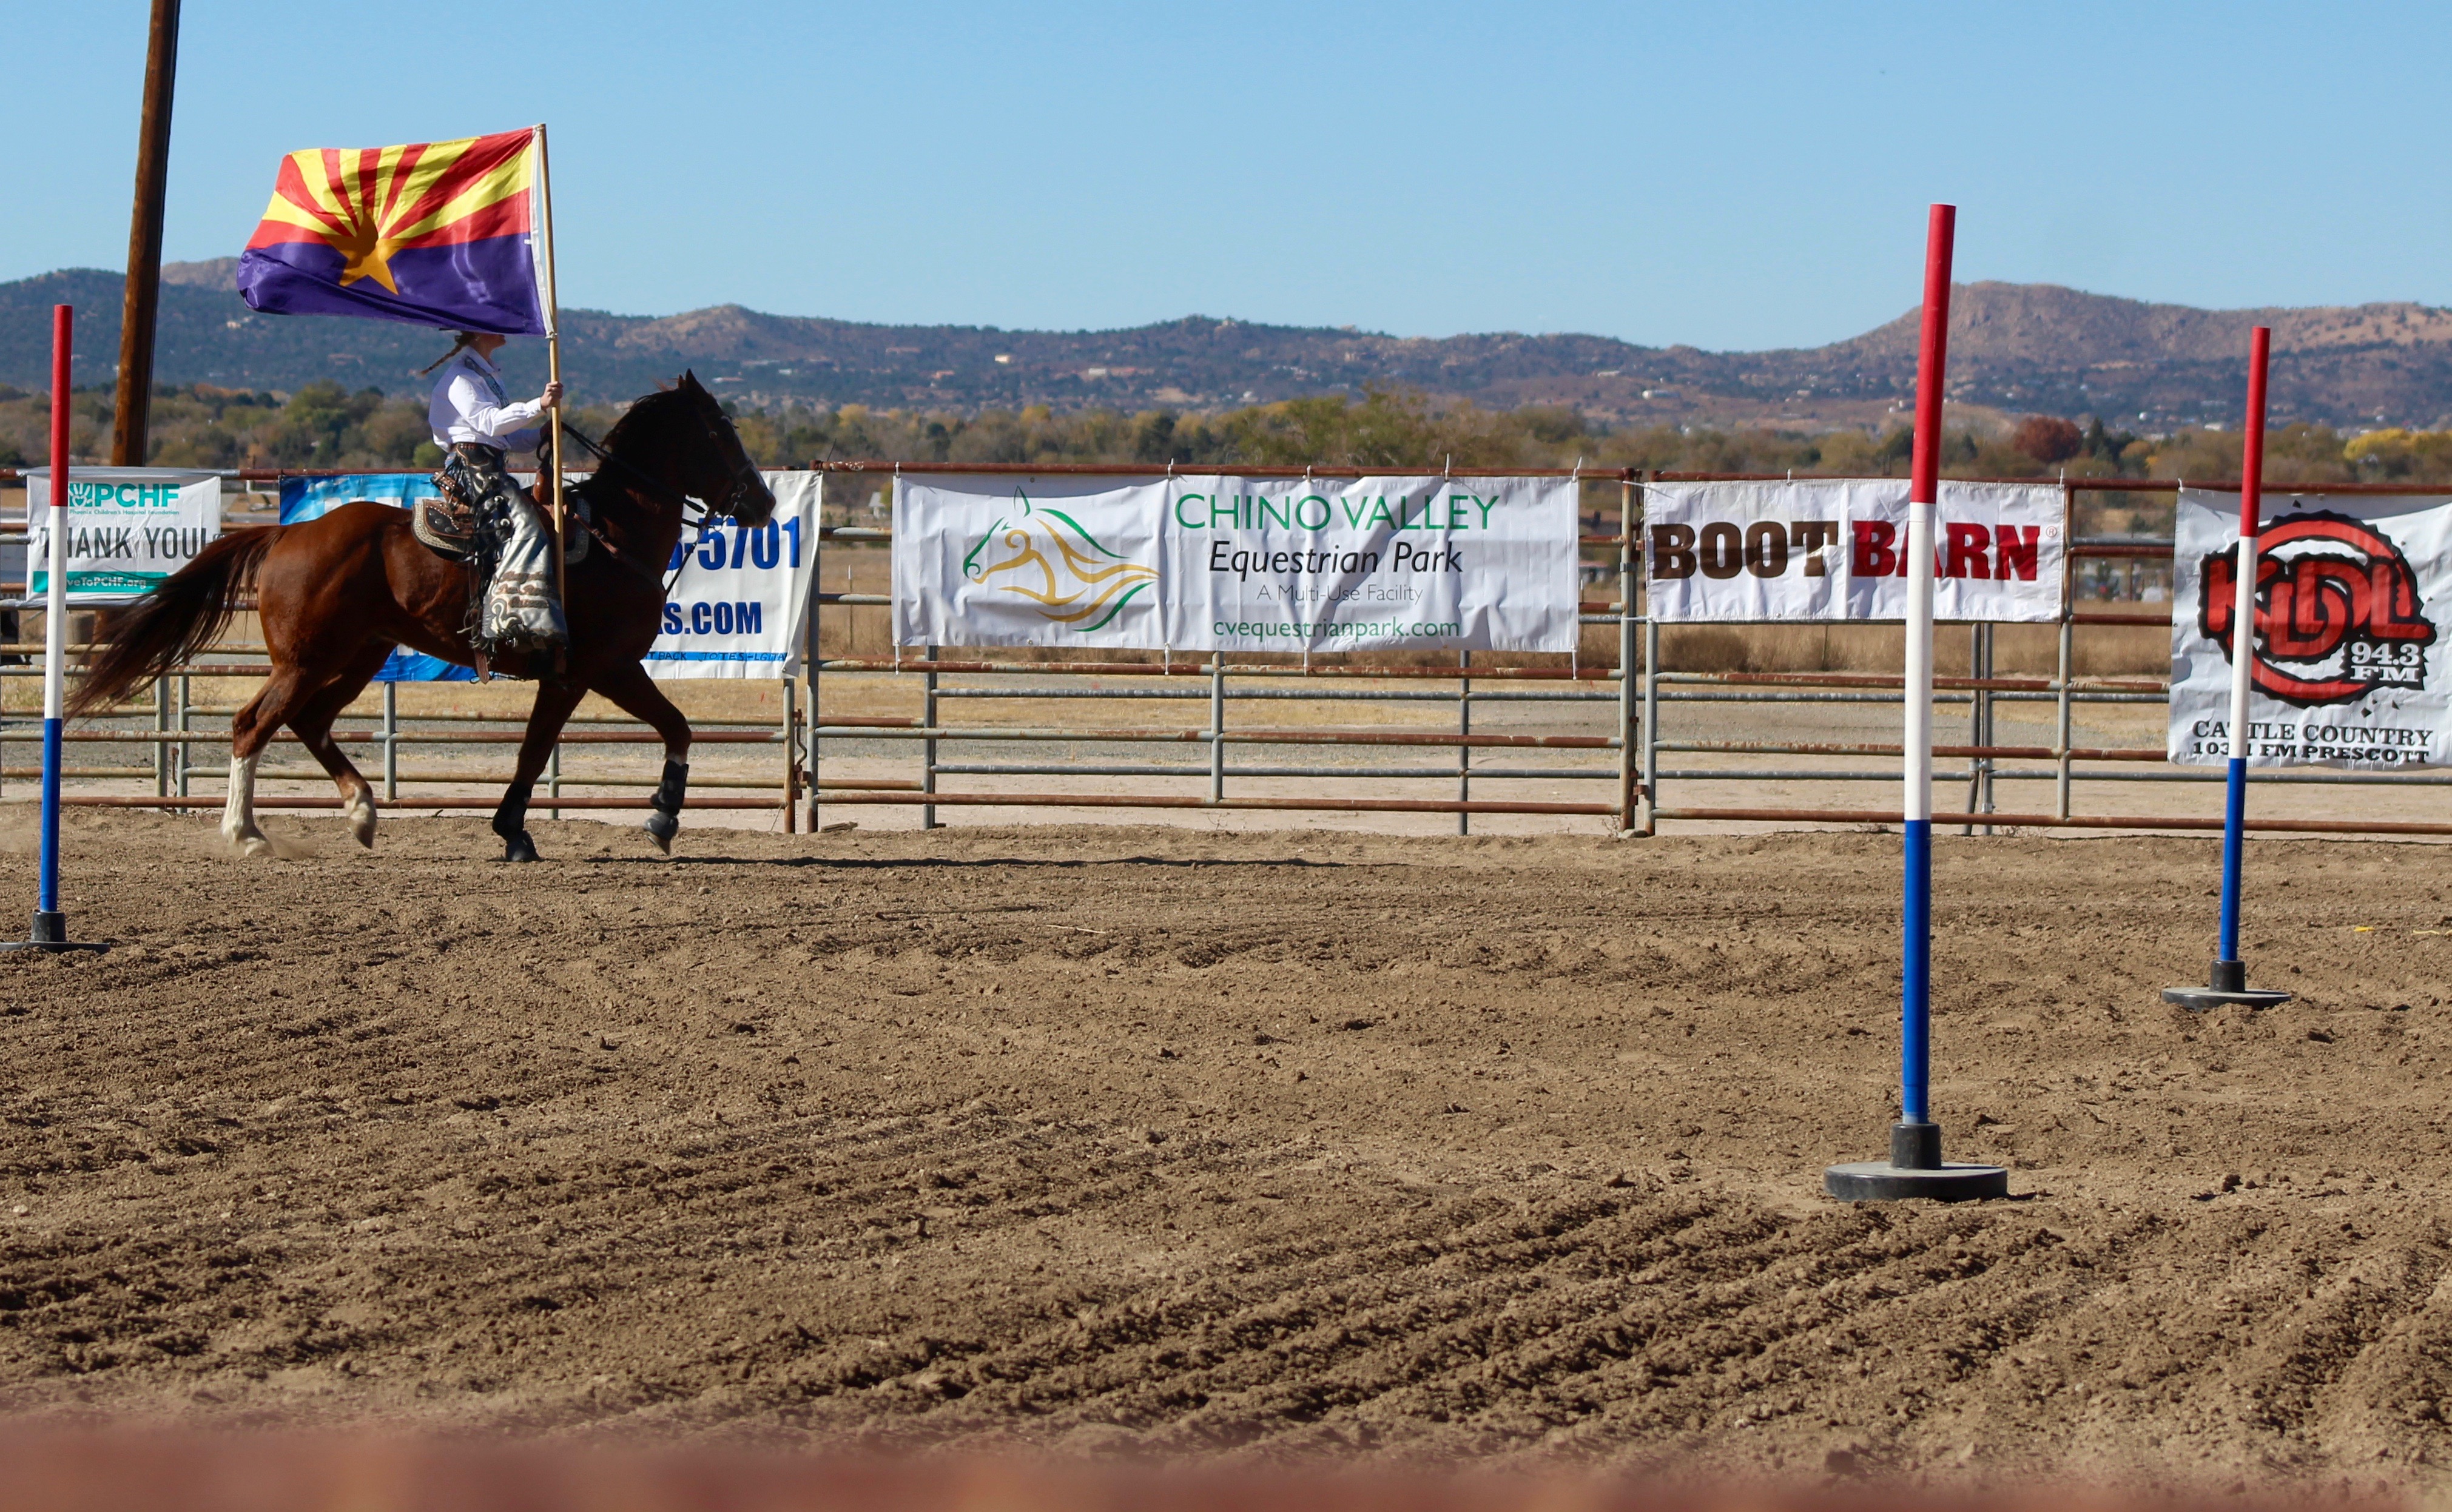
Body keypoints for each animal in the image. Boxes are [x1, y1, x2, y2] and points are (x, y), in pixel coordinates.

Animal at [74, 375, 775, 862]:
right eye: (722, 431)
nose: (764, 502)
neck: (610, 537)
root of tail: (286, 534)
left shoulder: (581, 675)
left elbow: (564, 743)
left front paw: (524, 830)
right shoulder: (598, 670)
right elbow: (633, 733)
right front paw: (657, 817)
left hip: (360, 655)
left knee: (309, 721)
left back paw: (361, 813)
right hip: (307, 659)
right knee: (254, 724)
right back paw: (246, 834)